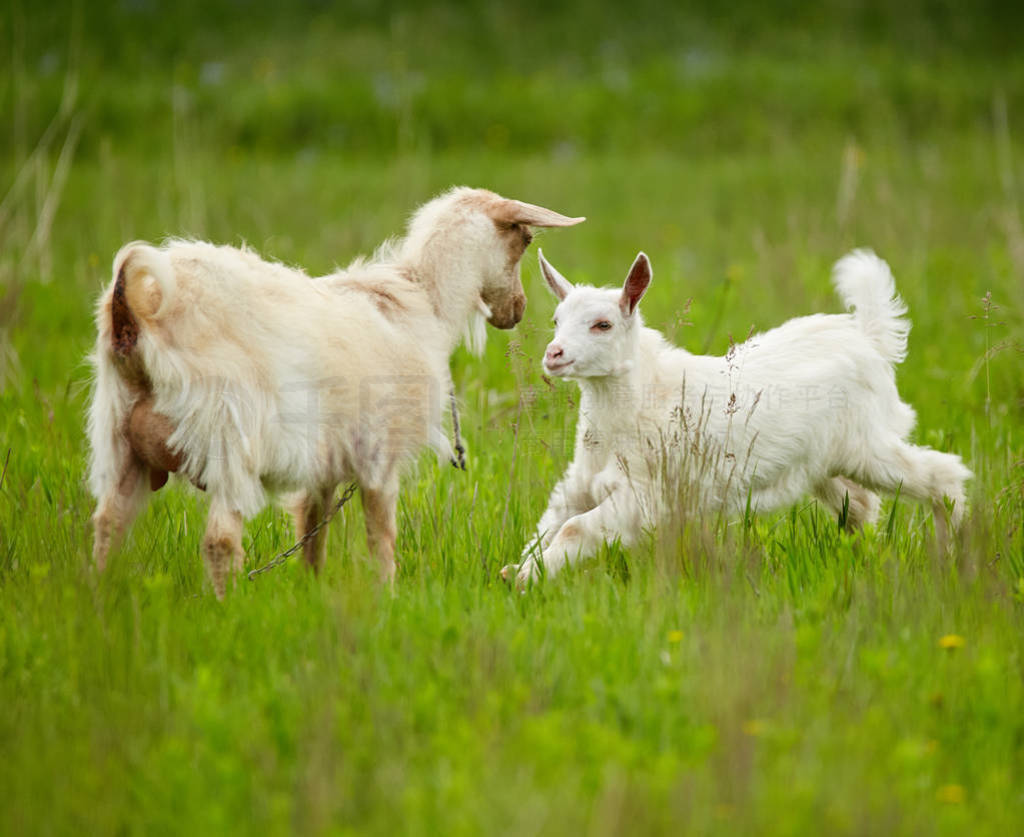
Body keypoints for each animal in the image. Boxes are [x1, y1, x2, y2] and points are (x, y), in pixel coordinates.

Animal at [88, 186, 585, 598]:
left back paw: (100, 600)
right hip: (229, 434)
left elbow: (313, 534)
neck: (422, 300)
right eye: (525, 240)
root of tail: (133, 311)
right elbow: (381, 536)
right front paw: (387, 596)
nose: (517, 310)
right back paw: (225, 608)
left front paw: (312, 592)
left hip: (120, 440)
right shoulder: (380, 453)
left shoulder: (324, 463)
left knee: (108, 524)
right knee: (219, 540)